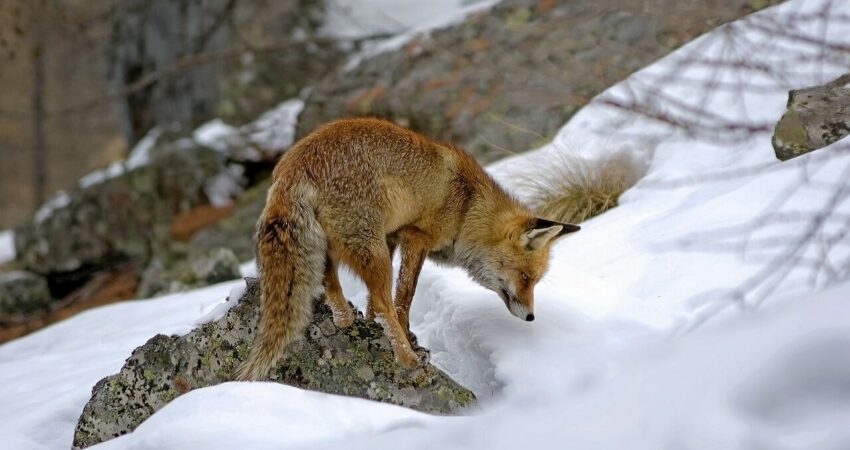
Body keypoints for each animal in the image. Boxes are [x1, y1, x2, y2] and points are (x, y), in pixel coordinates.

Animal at [234, 117, 576, 380]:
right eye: (526, 278)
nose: (531, 317)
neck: (467, 208)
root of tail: (292, 166)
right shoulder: (415, 236)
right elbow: (402, 299)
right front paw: (409, 340)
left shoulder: (392, 237)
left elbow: (378, 303)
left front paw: (372, 322)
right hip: (372, 252)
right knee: (383, 300)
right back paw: (406, 359)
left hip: (339, 245)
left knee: (331, 282)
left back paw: (345, 319)